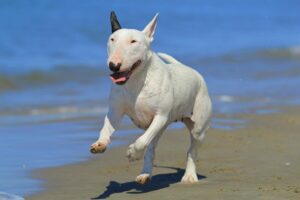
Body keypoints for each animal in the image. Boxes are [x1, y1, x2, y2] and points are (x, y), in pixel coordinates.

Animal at [90, 11, 212, 184]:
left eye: (133, 41)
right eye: (112, 39)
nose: (114, 65)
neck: (136, 82)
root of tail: (191, 71)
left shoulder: (160, 116)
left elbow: (141, 141)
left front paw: (133, 153)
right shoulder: (115, 112)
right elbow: (107, 127)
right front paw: (100, 143)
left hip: (197, 128)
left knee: (191, 150)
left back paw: (189, 176)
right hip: (160, 128)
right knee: (151, 147)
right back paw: (145, 174)